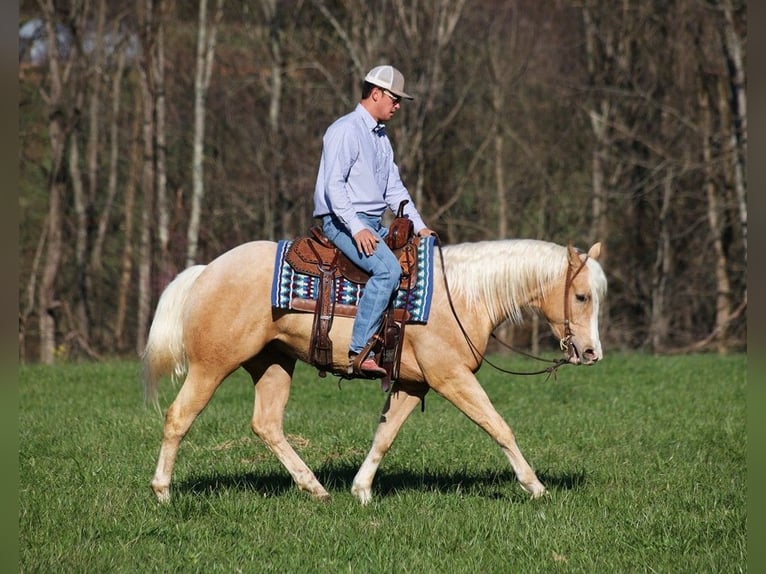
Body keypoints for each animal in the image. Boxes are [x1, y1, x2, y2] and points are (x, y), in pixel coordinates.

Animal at [144, 238, 608, 504]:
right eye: (581, 296)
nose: (591, 352)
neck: (461, 296)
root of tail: (206, 271)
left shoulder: (413, 384)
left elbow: (385, 435)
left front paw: (361, 490)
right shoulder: (451, 377)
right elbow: (498, 426)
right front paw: (534, 487)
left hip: (273, 362)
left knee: (267, 424)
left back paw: (315, 488)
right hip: (212, 366)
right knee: (179, 417)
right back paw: (163, 493)